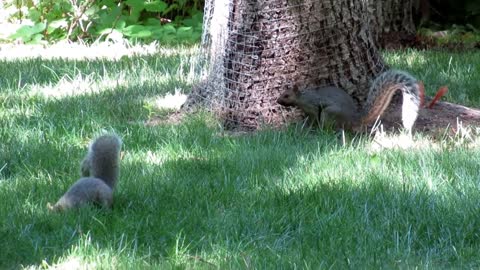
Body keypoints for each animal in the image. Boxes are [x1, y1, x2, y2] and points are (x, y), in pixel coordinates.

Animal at [278, 69, 420, 133]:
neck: (302, 98)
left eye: (286, 95)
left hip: (329, 113)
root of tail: (353, 118)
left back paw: (323, 130)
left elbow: (314, 116)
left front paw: (312, 127)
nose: (278, 101)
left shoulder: (312, 105)